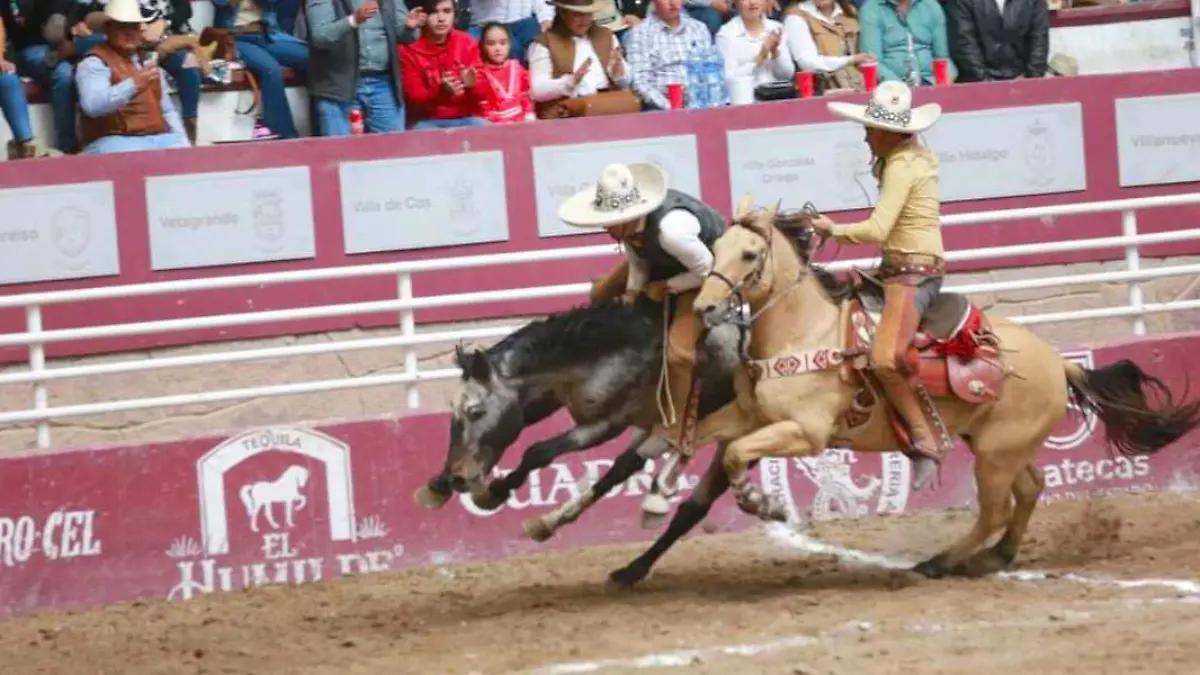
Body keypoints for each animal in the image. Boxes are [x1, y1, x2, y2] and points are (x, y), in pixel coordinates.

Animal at [686, 195, 1200, 578]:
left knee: (995, 510)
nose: (705, 308)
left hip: (994, 455)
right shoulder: (748, 415)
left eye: (749, 254)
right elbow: (707, 437)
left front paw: (761, 502)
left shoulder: (806, 433)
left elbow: (737, 453)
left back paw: (941, 562)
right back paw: (995, 556)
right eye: (717, 246)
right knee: (1030, 488)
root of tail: (1058, 363)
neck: (806, 332)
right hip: (998, 445)